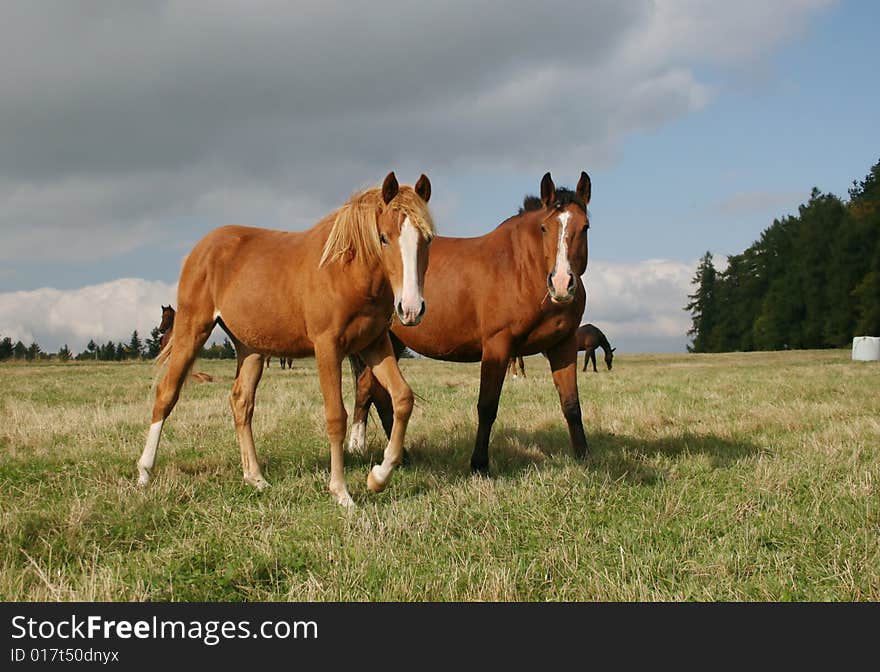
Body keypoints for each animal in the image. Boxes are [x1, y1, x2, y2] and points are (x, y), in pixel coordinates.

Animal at [138, 171, 436, 506]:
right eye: (384, 237)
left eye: (427, 239)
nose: (411, 309)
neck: (345, 271)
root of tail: (201, 249)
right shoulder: (327, 348)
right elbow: (336, 416)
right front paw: (341, 492)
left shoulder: (374, 345)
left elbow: (403, 398)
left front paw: (377, 477)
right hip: (192, 330)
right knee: (167, 393)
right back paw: (144, 473)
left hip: (250, 348)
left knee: (241, 402)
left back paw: (255, 478)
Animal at [350, 173, 592, 478]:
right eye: (544, 228)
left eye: (585, 227)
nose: (561, 283)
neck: (521, 269)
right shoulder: (497, 346)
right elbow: (487, 406)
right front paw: (479, 464)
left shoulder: (564, 344)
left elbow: (571, 405)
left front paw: (584, 457)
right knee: (369, 391)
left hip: (388, 342)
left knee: (374, 391)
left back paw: (398, 456)